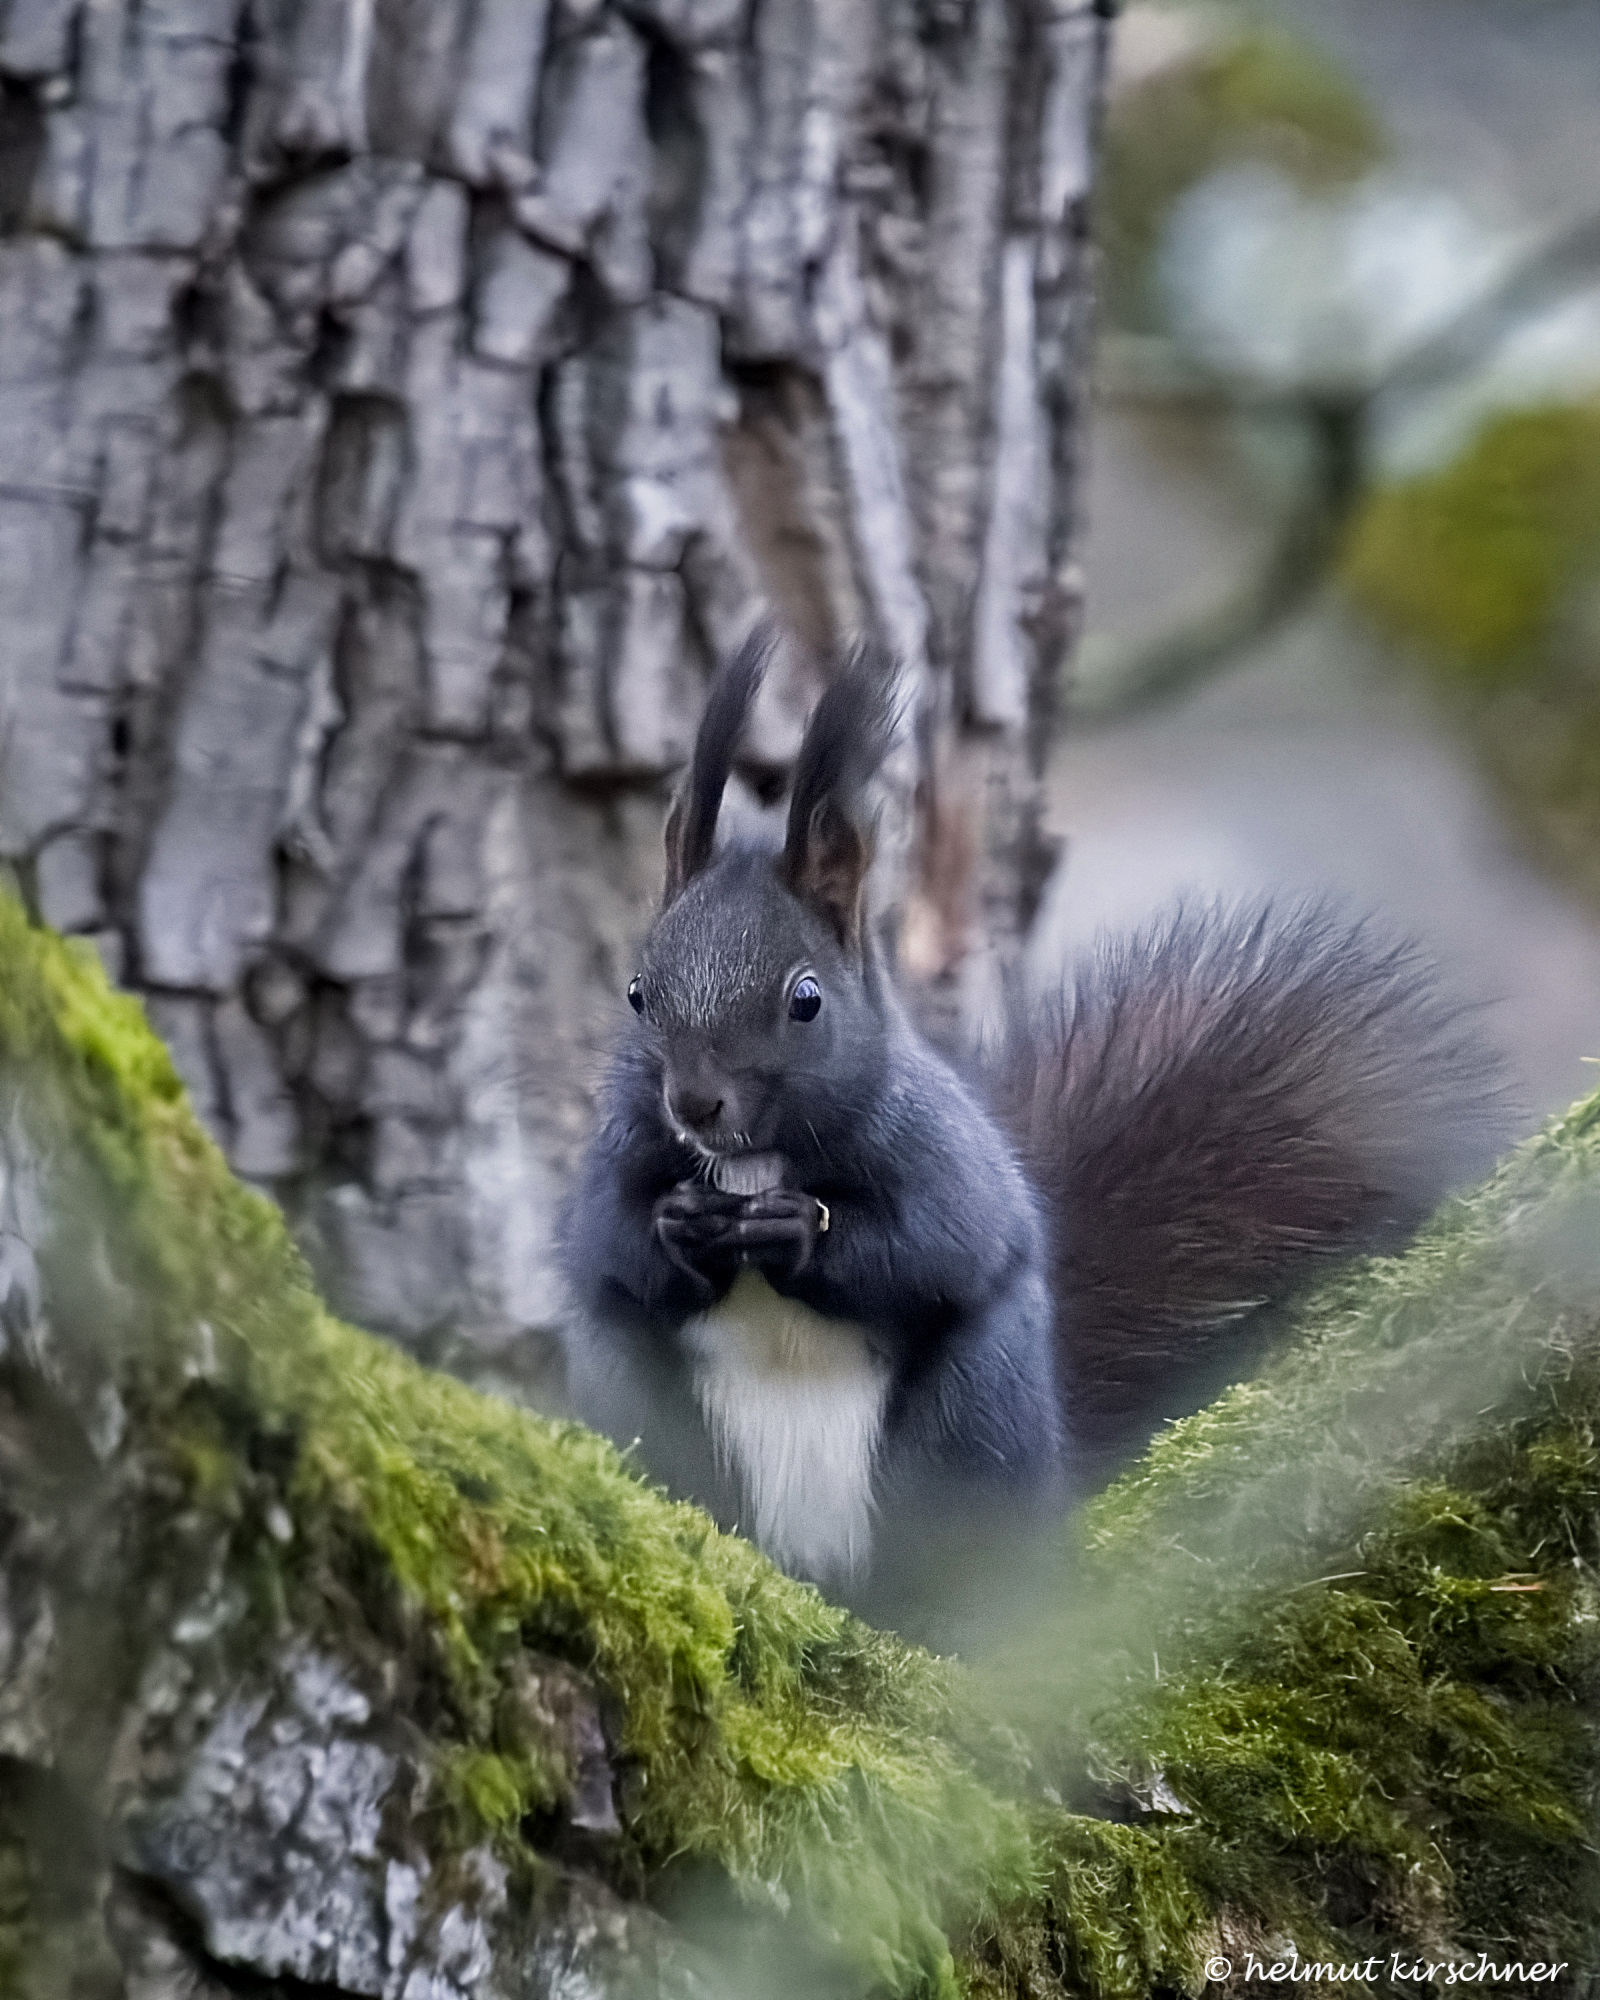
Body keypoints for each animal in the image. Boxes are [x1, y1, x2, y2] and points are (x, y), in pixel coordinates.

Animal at [559, 634, 1504, 1621]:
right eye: (638, 994)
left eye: (805, 999)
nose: (696, 1105)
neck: (749, 1166)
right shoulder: (615, 1159)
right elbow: (603, 1246)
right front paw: (679, 1224)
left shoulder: (944, 1157)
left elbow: (940, 1249)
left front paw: (798, 1231)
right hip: (639, 1403)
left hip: (974, 1423)